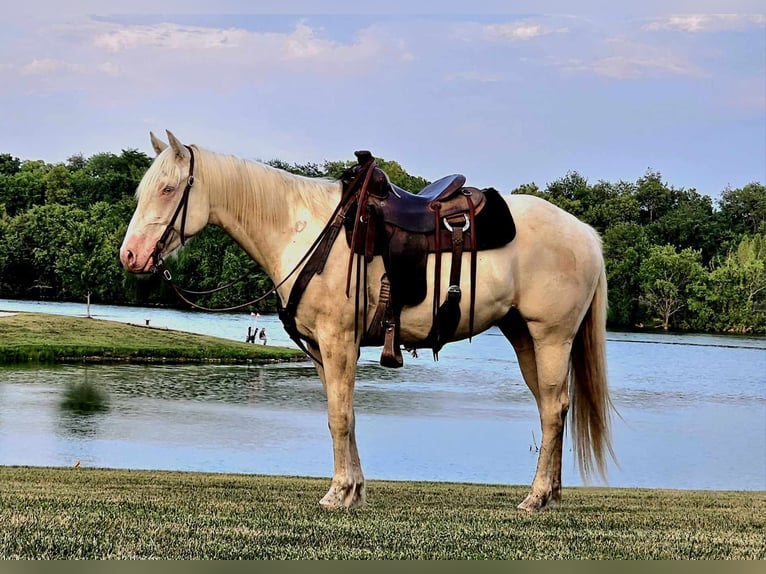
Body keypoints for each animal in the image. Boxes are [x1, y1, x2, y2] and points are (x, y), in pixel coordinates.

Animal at [120, 132, 616, 512]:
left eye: (168, 189)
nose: (130, 255)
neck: (305, 230)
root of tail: (585, 233)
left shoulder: (338, 340)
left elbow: (339, 417)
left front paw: (338, 493)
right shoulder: (321, 350)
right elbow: (345, 415)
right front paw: (353, 490)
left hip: (551, 337)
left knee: (552, 409)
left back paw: (535, 498)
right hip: (523, 337)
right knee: (552, 407)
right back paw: (550, 493)